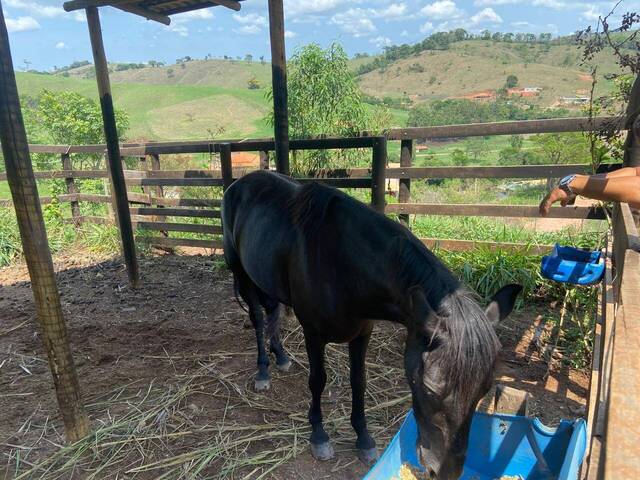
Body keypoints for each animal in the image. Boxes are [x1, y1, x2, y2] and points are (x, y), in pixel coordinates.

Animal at [220, 171, 520, 478]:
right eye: (429, 388)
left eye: (485, 390)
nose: (443, 472)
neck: (342, 264)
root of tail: (239, 184)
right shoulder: (313, 334)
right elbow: (318, 381)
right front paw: (319, 436)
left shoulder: (362, 333)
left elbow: (359, 382)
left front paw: (364, 439)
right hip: (241, 273)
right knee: (258, 320)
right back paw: (263, 371)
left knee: (273, 312)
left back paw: (280, 357)